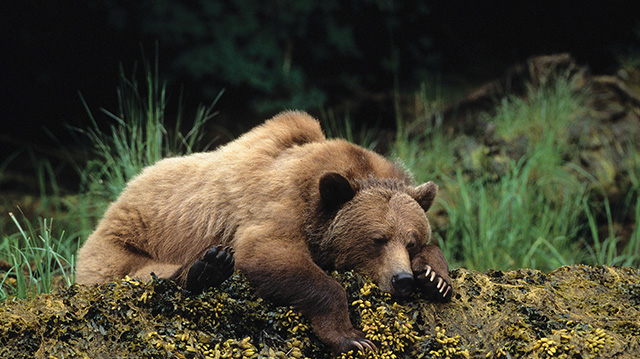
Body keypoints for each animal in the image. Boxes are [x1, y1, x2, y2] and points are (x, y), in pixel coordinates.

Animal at [75, 112, 452, 354]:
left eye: (411, 241)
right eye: (377, 239)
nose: (402, 280)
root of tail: (118, 198)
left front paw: (435, 277)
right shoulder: (280, 204)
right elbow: (266, 252)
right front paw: (353, 337)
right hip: (118, 246)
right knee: (144, 274)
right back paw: (207, 267)